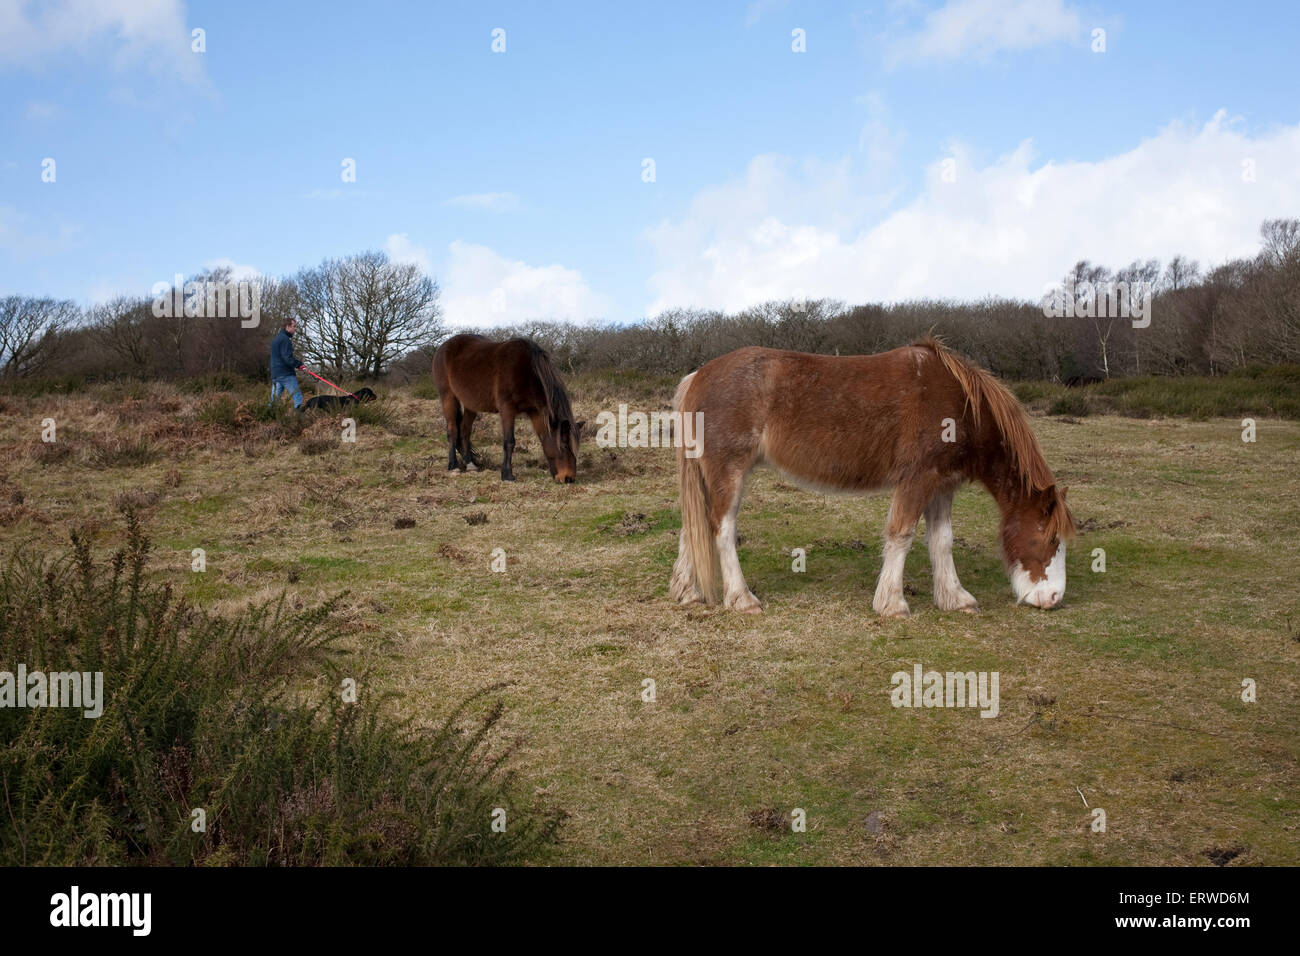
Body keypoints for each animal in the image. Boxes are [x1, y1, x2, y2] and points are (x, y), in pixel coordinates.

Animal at [431, 335, 585, 486]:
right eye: (564, 446)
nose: (569, 478)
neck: (527, 370)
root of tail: (444, 346)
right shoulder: (507, 409)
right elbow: (509, 442)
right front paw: (507, 474)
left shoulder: (533, 411)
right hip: (448, 396)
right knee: (452, 430)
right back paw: (453, 466)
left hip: (470, 404)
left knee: (464, 430)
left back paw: (470, 464)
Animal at [670, 340, 1076, 616]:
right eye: (1050, 537)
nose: (1054, 598)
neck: (960, 403)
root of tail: (698, 376)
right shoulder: (918, 480)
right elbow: (902, 535)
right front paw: (892, 604)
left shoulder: (942, 485)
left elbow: (941, 541)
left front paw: (955, 598)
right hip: (729, 472)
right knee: (722, 530)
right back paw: (741, 598)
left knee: (693, 527)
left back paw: (687, 592)